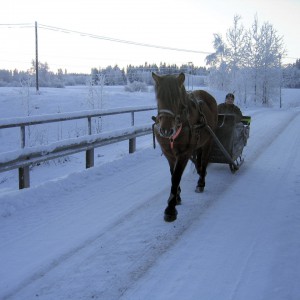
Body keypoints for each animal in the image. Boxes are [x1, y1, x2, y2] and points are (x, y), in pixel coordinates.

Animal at [152, 72, 218, 223]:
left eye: (177, 99)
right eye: (159, 97)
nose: (165, 130)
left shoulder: (184, 154)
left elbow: (176, 177)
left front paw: (170, 208)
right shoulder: (169, 154)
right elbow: (172, 174)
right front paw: (177, 196)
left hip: (208, 142)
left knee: (204, 161)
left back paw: (201, 182)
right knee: (199, 161)